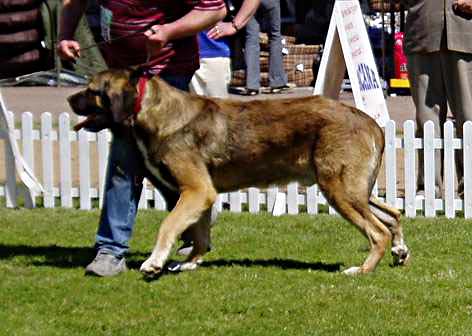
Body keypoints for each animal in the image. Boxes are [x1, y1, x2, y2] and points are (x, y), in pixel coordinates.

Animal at [67, 69, 410, 278]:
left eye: (92, 90)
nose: (70, 98)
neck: (154, 110)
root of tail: (371, 123)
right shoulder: (201, 194)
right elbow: (200, 234)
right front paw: (190, 263)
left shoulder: (195, 191)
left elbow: (168, 225)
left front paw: (154, 262)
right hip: (353, 190)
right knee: (393, 214)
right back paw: (400, 251)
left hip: (339, 190)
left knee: (377, 231)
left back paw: (362, 270)